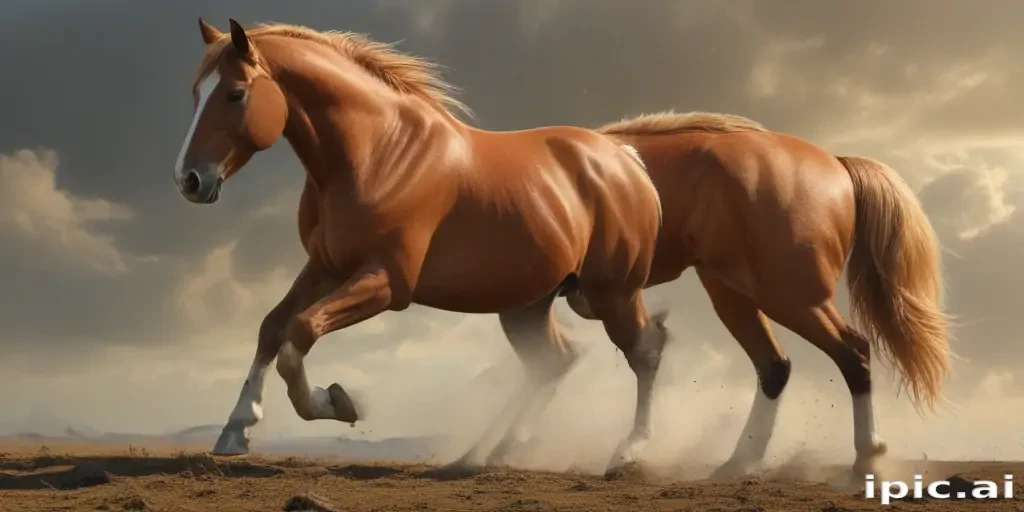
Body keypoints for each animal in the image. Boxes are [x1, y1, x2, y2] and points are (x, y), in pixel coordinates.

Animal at [172, 18, 669, 476]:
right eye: (196, 93)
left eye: (235, 93)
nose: (188, 180)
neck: (377, 153)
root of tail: (626, 162)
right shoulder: (325, 267)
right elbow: (272, 328)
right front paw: (235, 430)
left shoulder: (387, 283)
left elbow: (301, 331)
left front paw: (339, 402)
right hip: (526, 305)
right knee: (556, 362)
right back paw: (491, 454)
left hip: (614, 293)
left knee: (643, 354)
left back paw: (627, 453)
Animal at [473, 111, 953, 480]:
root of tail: (835, 163)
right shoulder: (531, 303)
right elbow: (548, 363)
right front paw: (489, 450)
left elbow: (560, 361)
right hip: (734, 293)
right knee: (774, 367)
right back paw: (740, 462)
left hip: (792, 296)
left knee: (852, 352)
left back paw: (866, 459)